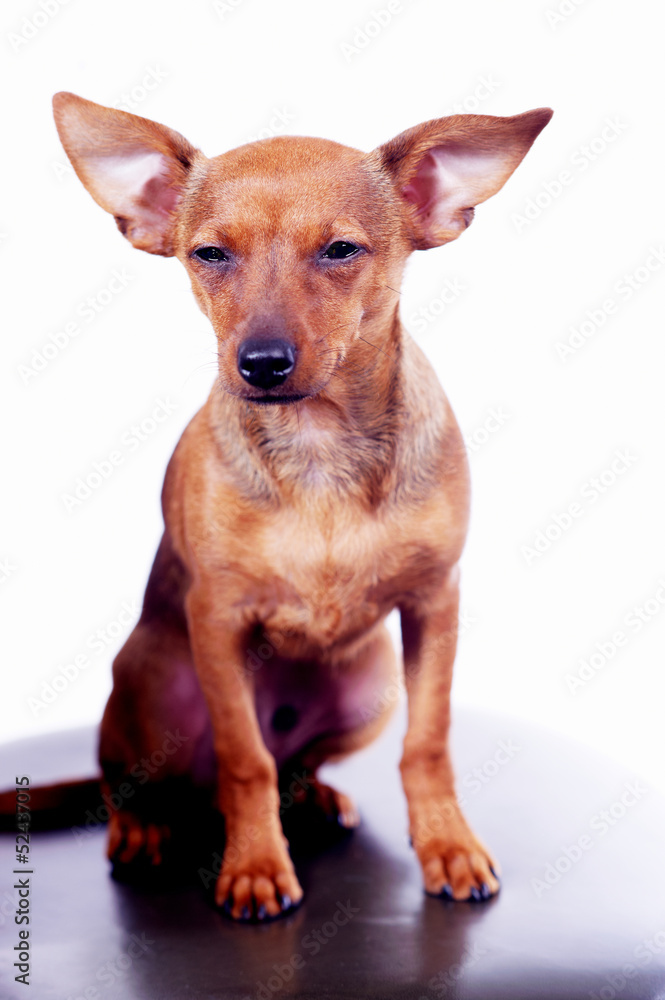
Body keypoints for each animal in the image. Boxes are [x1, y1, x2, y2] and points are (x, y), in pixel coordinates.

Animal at [53, 94, 548, 920]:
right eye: (209, 255)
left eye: (341, 251)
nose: (260, 364)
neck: (318, 451)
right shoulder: (218, 621)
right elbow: (243, 760)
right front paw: (255, 866)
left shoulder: (433, 605)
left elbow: (428, 742)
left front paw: (446, 846)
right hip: (147, 680)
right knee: (142, 779)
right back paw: (144, 829)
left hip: (369, 682)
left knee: (290, 765)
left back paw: (313, 795)